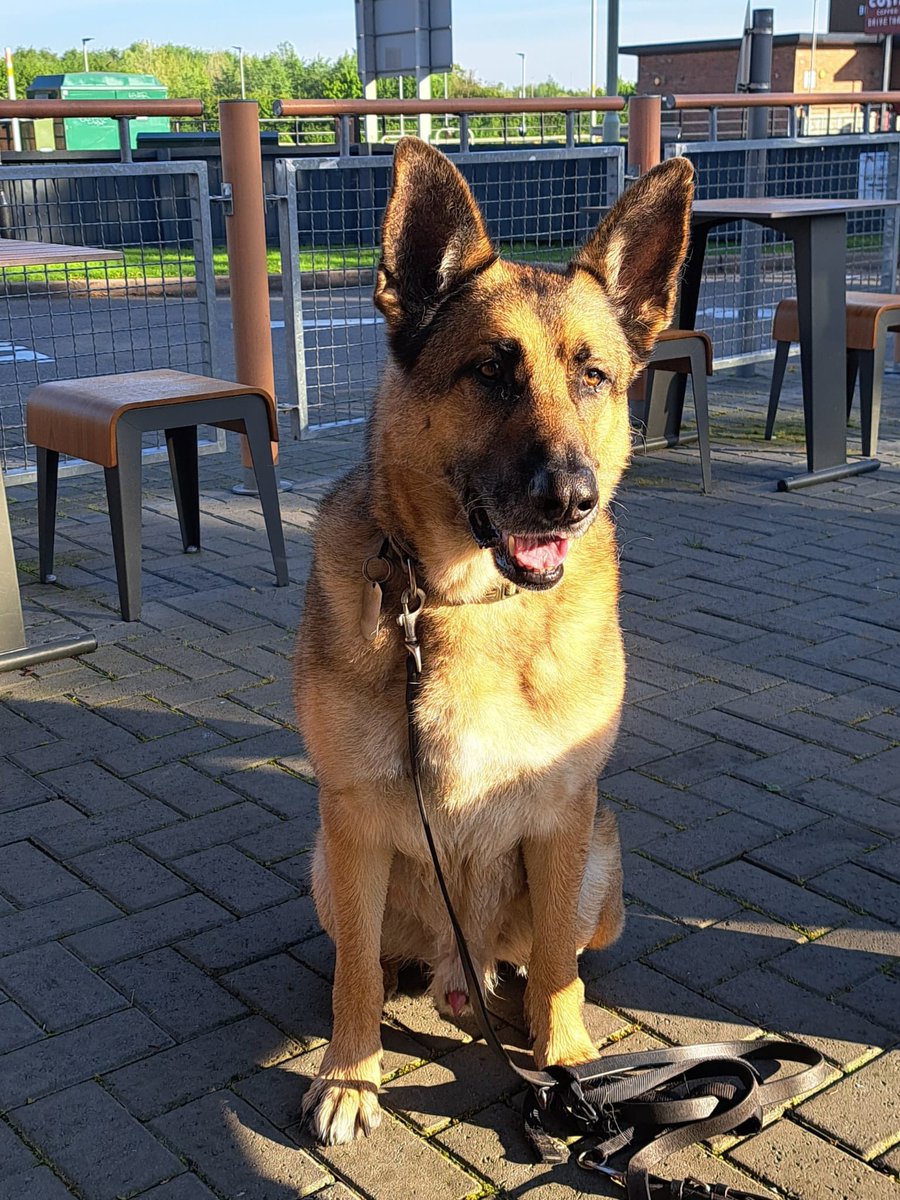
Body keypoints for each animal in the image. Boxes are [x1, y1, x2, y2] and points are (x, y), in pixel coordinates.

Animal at [296, 140, 696, 1142]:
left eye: (594, 377)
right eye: (490, 370)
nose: (572, 498)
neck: (466, 605)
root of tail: (458, 965)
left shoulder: (562, 818)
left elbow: (554, 964)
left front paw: (567, 1066)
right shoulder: (352, 819)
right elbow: (352, 978)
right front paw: (350, 1075)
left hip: (600, 864)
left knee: (554, 961)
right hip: (328, 866)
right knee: (371, 959)